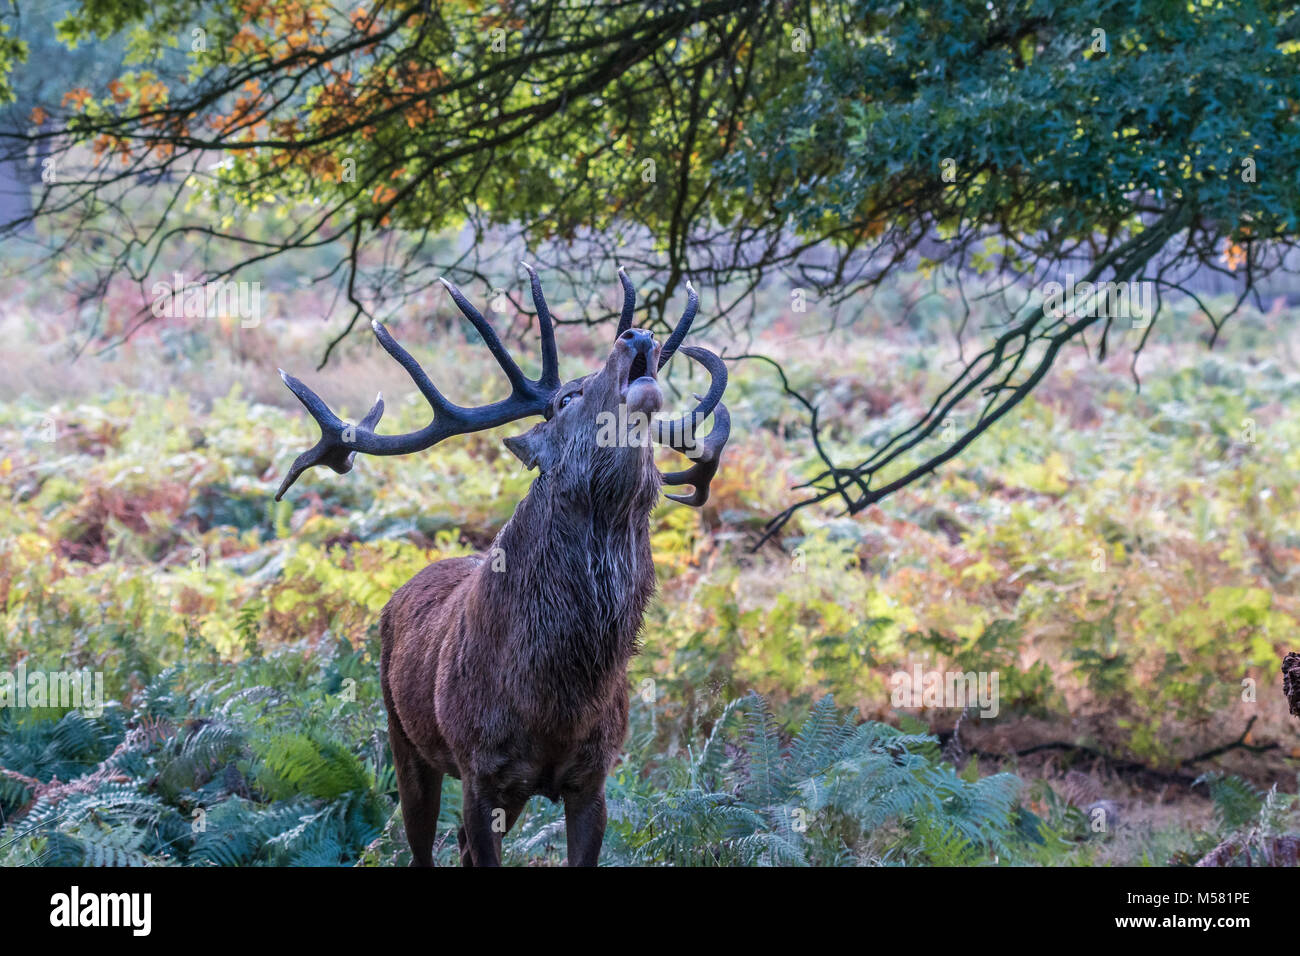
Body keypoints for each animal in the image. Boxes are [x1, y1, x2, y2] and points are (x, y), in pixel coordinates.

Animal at [273, 265, 729, 866]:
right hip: (404, 738)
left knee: (461, 845)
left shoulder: (592, 779)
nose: (637, 336)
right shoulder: (479, 771)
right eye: (565, 399)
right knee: (424, 844)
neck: (556, 702)